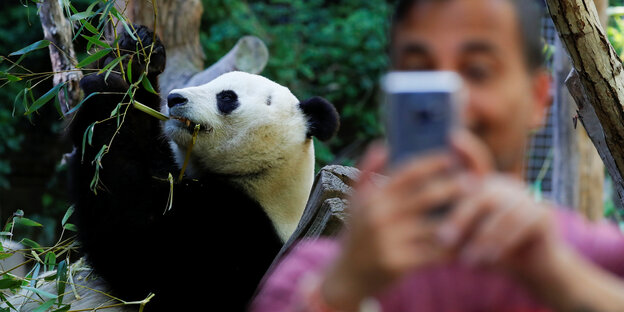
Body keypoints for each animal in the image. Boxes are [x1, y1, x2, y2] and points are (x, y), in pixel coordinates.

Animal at [67, 25, 338, 310]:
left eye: (227, 97)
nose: (174, 98)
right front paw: (137, 53)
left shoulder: (240, 235)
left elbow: (134, 236)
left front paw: (110, 87)